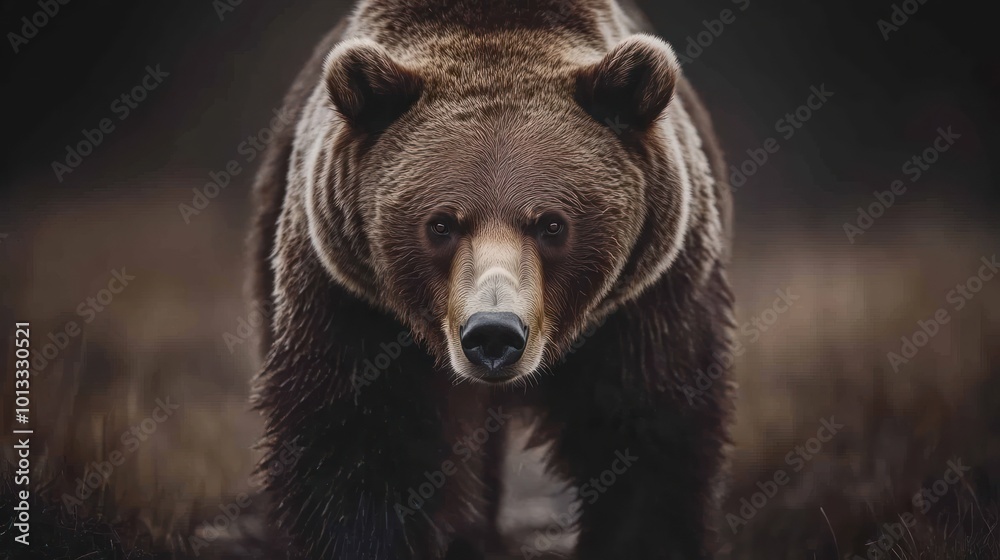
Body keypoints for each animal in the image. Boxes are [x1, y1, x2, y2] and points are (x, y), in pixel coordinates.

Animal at [248, 0, 735, 558]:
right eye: (441, 223)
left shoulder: (648, 300)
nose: (494, 332)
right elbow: (358, 446)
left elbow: (648, 437)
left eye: (552, 224)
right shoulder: (350, 299)